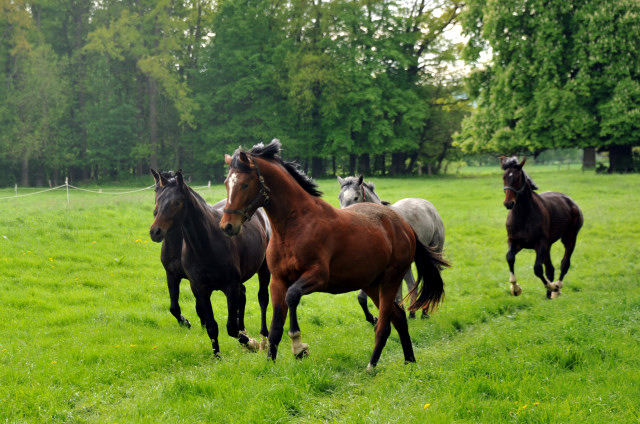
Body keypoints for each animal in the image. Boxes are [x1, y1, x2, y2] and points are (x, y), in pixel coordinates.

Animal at [149, 169, 272, 354]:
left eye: (177, 202)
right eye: (157, 193)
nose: (155, 231)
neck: (205, 245)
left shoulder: (230, 286)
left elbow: (231, 328)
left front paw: (251, 343)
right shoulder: (192, 284)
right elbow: (209, 324)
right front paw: (217, 354)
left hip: (263, 269)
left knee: (262, 298)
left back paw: (263, 340)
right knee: (243, 297)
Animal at [336, 174, 444, 320]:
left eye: (356, 197)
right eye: (339, 197)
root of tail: (429, 206)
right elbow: (363, 298)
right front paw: (374, 319)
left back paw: (424, 313)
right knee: (411, 284)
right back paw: (412, 313)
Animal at [500, 156, 584, 298]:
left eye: (518, 178)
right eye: (504, 176)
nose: (508, 203)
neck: (523, 216)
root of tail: (570, 201)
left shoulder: (540, 243)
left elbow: (537, 269)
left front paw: (552, 286)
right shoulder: (515, 242)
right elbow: (509, 258)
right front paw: (515, 288)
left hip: (569, 238)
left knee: (564, 264)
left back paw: (556, 289)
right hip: (548, 246)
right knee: (550, 268)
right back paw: (548, 296)